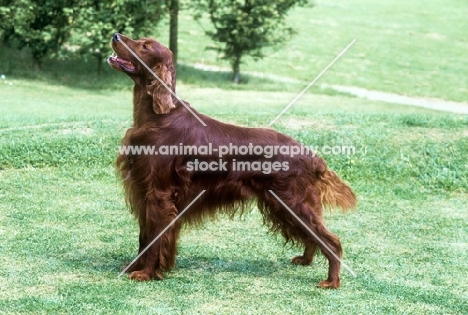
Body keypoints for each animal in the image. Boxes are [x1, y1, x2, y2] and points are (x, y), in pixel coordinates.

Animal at [108, 32, 354, 288]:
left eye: (144, 46)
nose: (115, 35)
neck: (158, 117)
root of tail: (311, 156)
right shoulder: (142, 191)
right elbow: (144, 236)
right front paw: (135, 267)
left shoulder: (159, 194)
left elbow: (153, 239)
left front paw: (146, 273)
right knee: (313, 236)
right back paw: (306, 260)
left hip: (292, 202)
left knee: (331, 240)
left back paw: (332, 280)